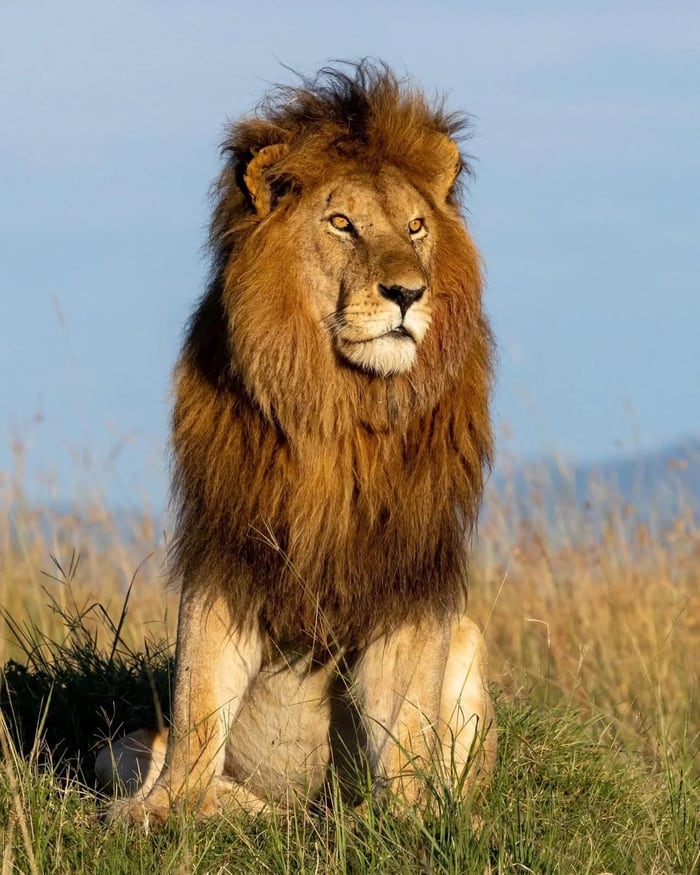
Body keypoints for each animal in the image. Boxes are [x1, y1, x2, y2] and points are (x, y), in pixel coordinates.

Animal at [98, 61, 497, 825]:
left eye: (416, 226)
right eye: (342, 224)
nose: (409, 293)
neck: (338, 405)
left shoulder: (409, 573)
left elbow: (407, 723)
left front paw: (411, 820)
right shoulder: (226, 546)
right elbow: (197, 701)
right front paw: (164, 811)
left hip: (468, 636)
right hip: (121, 742)